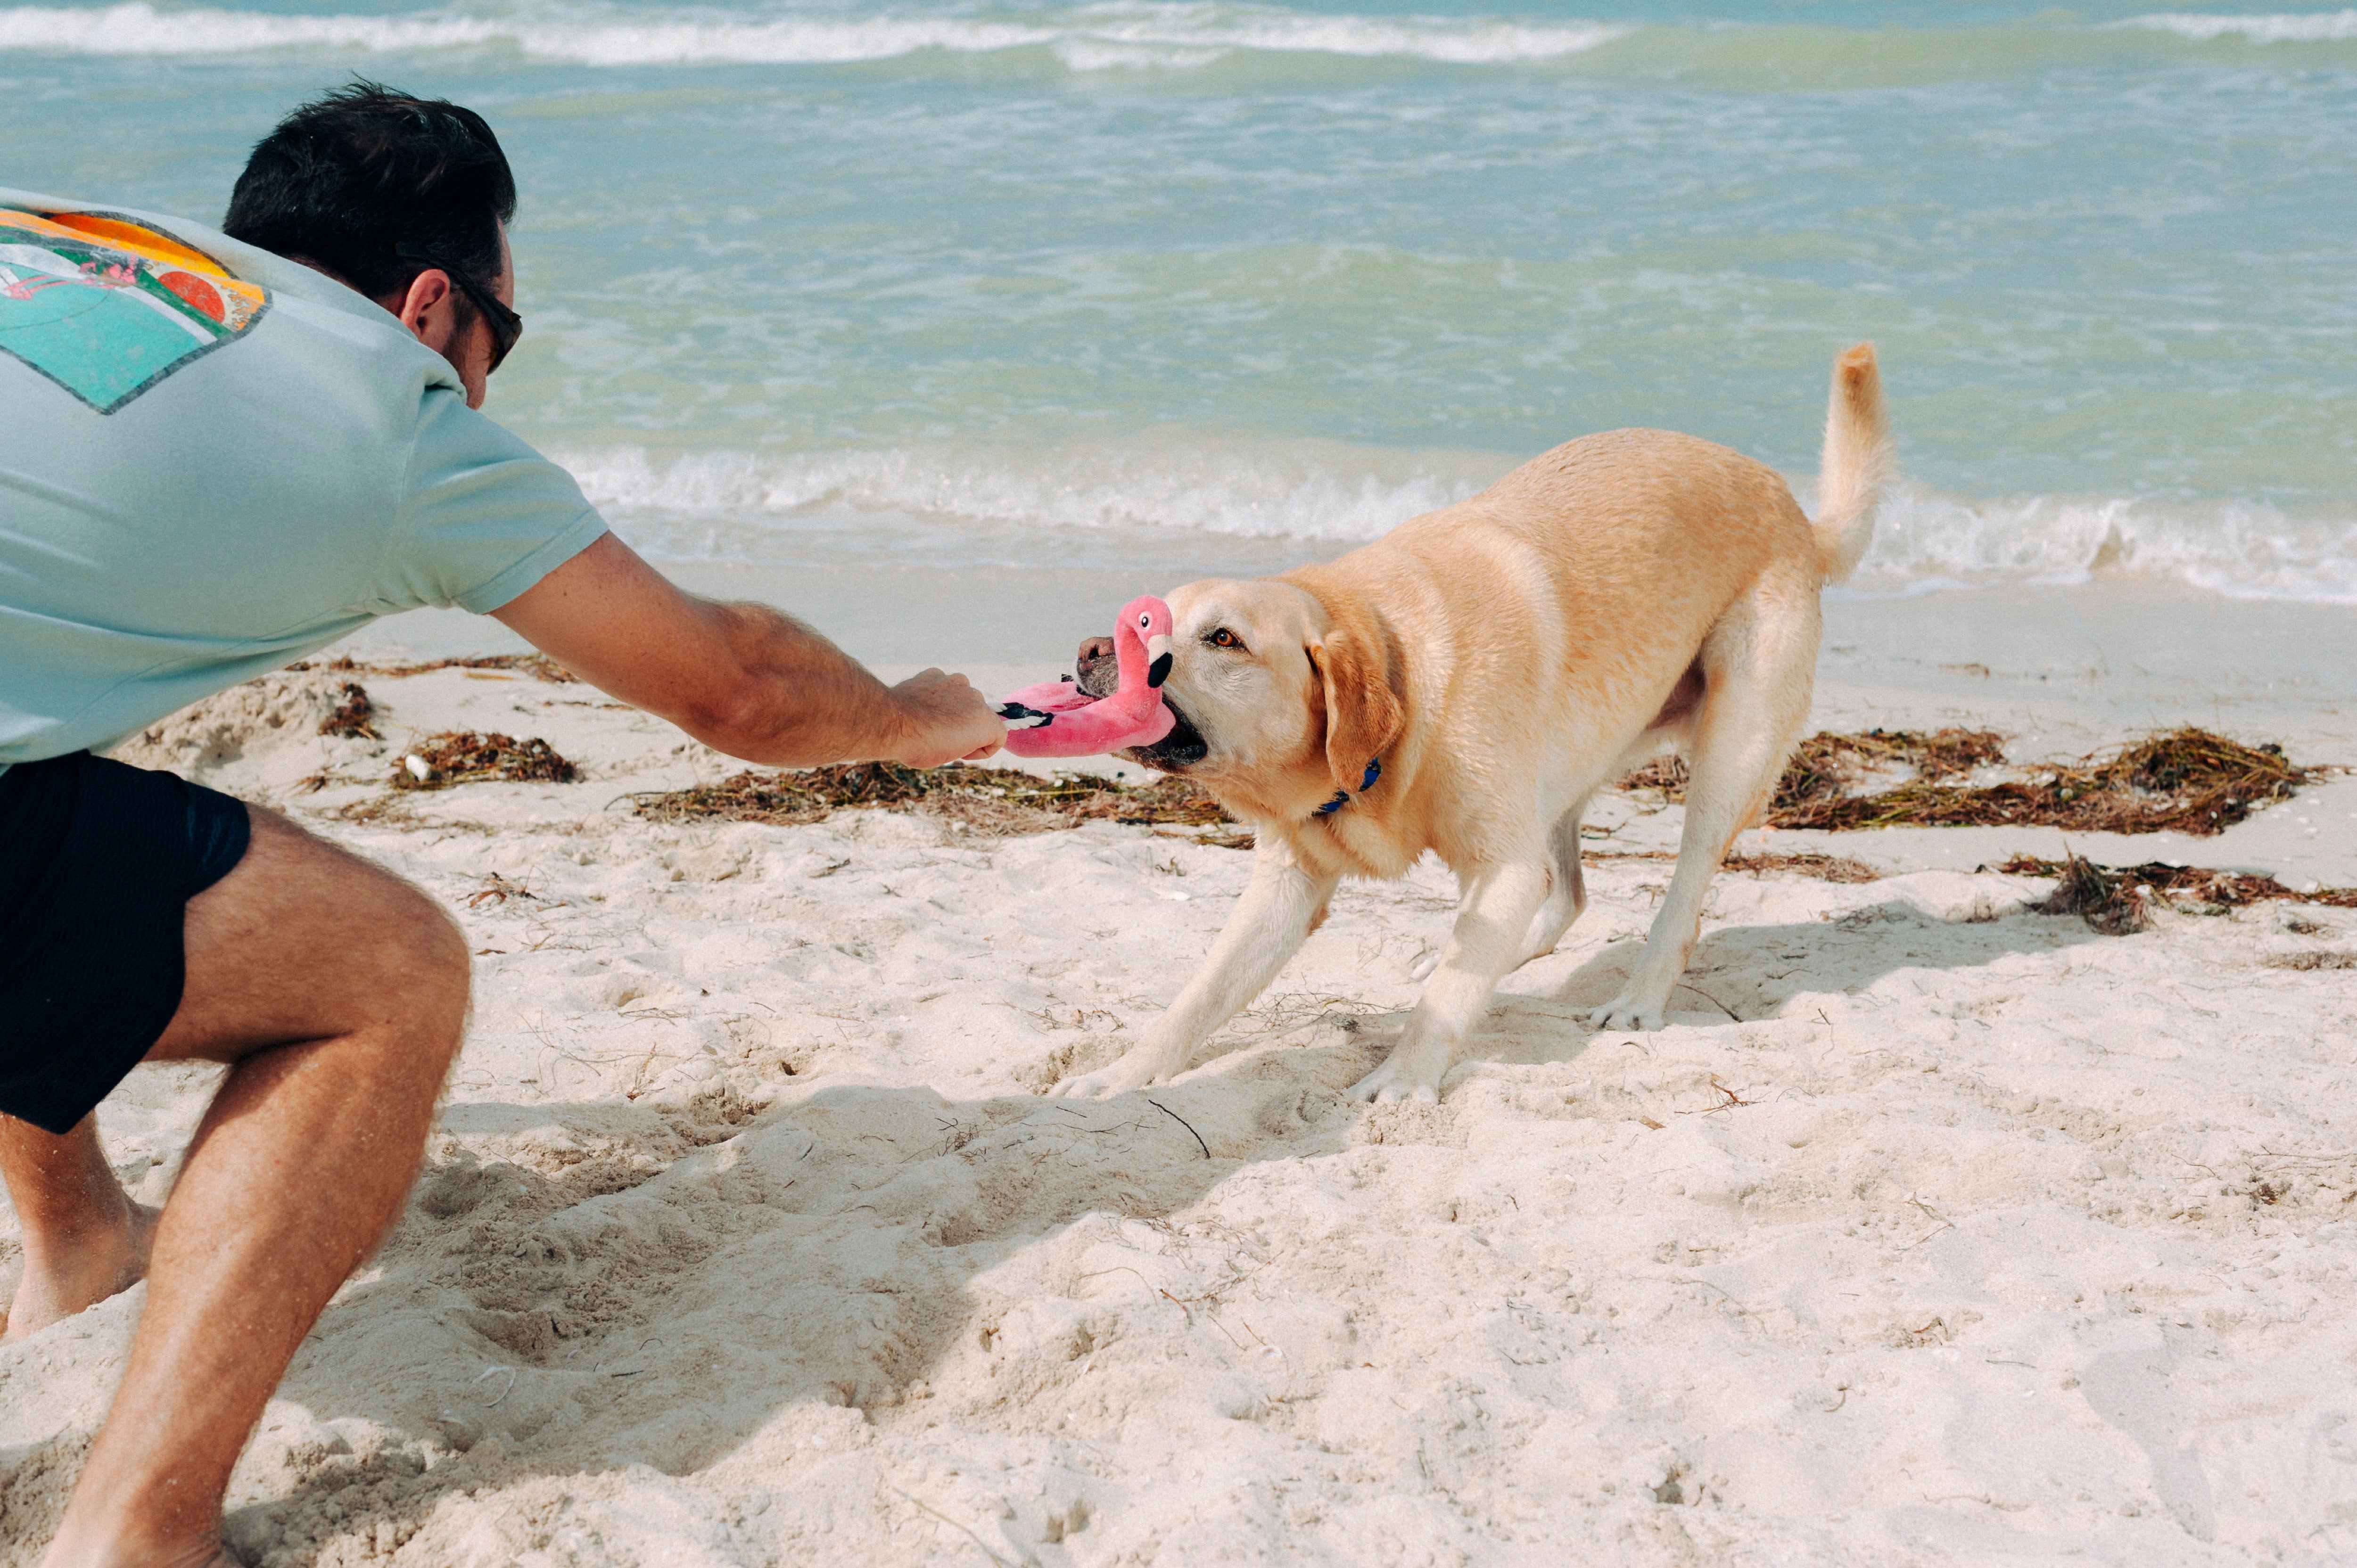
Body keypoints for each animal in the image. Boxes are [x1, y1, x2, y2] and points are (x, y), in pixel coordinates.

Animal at [1061, 342, 1886, 1099]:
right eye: (1147, 616)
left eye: (1223, 638)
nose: (1095, 649)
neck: (1393, 667)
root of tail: (1796, 511)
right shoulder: (1288, 883)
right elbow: (1200, 993)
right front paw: (1125, 1075)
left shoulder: (1501, 862)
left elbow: (1447, 998)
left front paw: (1403, 1079)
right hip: (1563, 772)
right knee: (1565, 893)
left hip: (1728, 756)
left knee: (1678, 901)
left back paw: (1636, 1000)